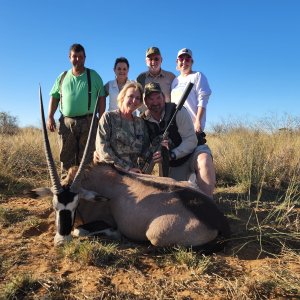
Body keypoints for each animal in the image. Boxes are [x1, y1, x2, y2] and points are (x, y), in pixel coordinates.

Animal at [28, 85, 230, 250]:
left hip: (156, 236)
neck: (92, 181)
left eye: (75, 205)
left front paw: (114, 233)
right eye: (54, 206)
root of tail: (219, 220)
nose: (62, 241)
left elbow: (80, 230)